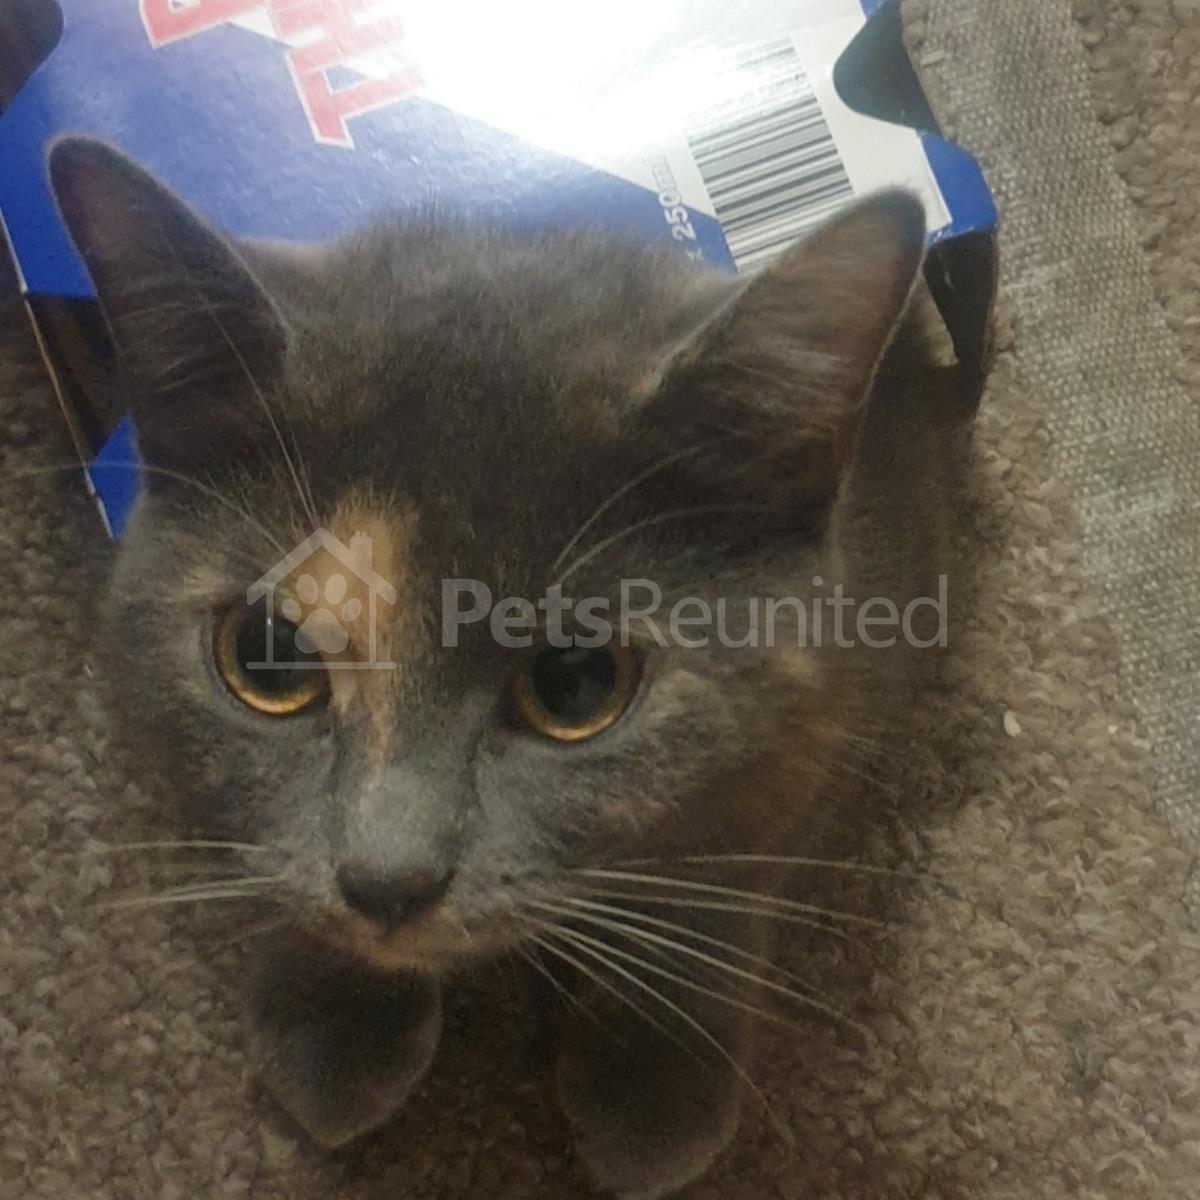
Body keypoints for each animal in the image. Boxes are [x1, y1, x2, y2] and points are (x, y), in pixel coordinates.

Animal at [49, 136, 973, 1200]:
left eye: (576, 685)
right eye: (267, 660)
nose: (386, 880)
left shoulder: (863, 665)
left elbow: (732, 860)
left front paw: (655, 1078)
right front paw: (333, 1023)